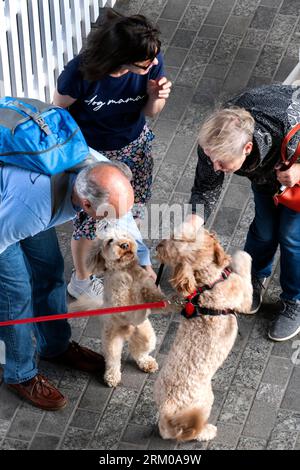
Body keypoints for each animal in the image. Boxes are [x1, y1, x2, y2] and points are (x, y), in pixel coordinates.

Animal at [83, 229, 165, 388]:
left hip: (148, 337)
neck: (124, 270)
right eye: (110, 241)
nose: (125, 244)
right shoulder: (117, 295)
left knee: (139, 351)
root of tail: (128, 334)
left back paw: (147, 362)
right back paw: (112, 377)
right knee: (113, 361)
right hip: (111, 343)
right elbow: (124, 301)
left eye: (125, 235)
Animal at [155, 220, 253, 440]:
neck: (206, 283)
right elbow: (245, 269)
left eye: (173, 239)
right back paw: (207, 432)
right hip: (205, 400)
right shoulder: (243, 295)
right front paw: (242, 255)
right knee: (193, 431)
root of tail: (167, 408)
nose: (158, 245)